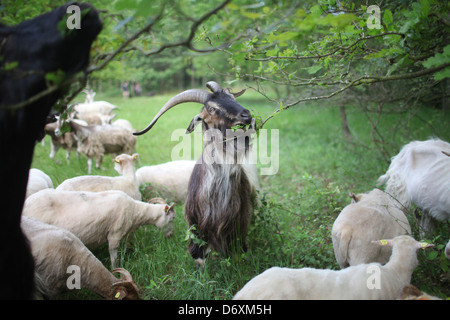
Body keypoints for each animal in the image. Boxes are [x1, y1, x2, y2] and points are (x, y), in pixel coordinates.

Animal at [22, 189, 176, 268]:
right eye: (172, 219)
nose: (171, 235)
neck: (136, 212)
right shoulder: (114, 234)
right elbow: (114, 257)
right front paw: (116, 271)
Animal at [134, 81, 258, 264]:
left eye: (232, 98)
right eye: (212, 108)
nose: (246, 115)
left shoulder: (239, 225)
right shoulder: (196, 228)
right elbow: (198, 257)